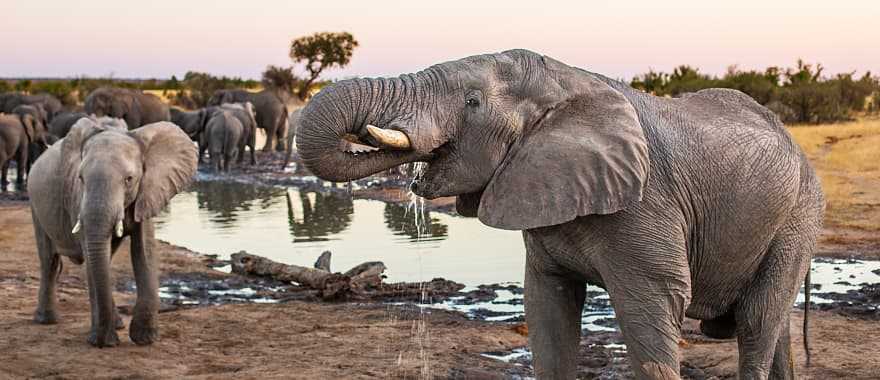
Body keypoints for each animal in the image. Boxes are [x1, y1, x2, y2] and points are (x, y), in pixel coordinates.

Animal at [29, 119, 199, 348]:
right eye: (80, 178)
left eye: (129, 179)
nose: (101, 343)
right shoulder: (77, 200)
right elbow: (92, 258)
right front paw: (102, 341)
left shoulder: (147, 192)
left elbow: (144, 251)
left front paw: (145, 339)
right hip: (35, 205)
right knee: (49, 261)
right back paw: (47, 321)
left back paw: (116, 324)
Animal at [300, 49, 828, 378]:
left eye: (472, 102)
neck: (563, 82)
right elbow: (547, 307)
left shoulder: (647, 204)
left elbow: (652, 311)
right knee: (775, 330)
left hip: (797, 219)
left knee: (757, 324)